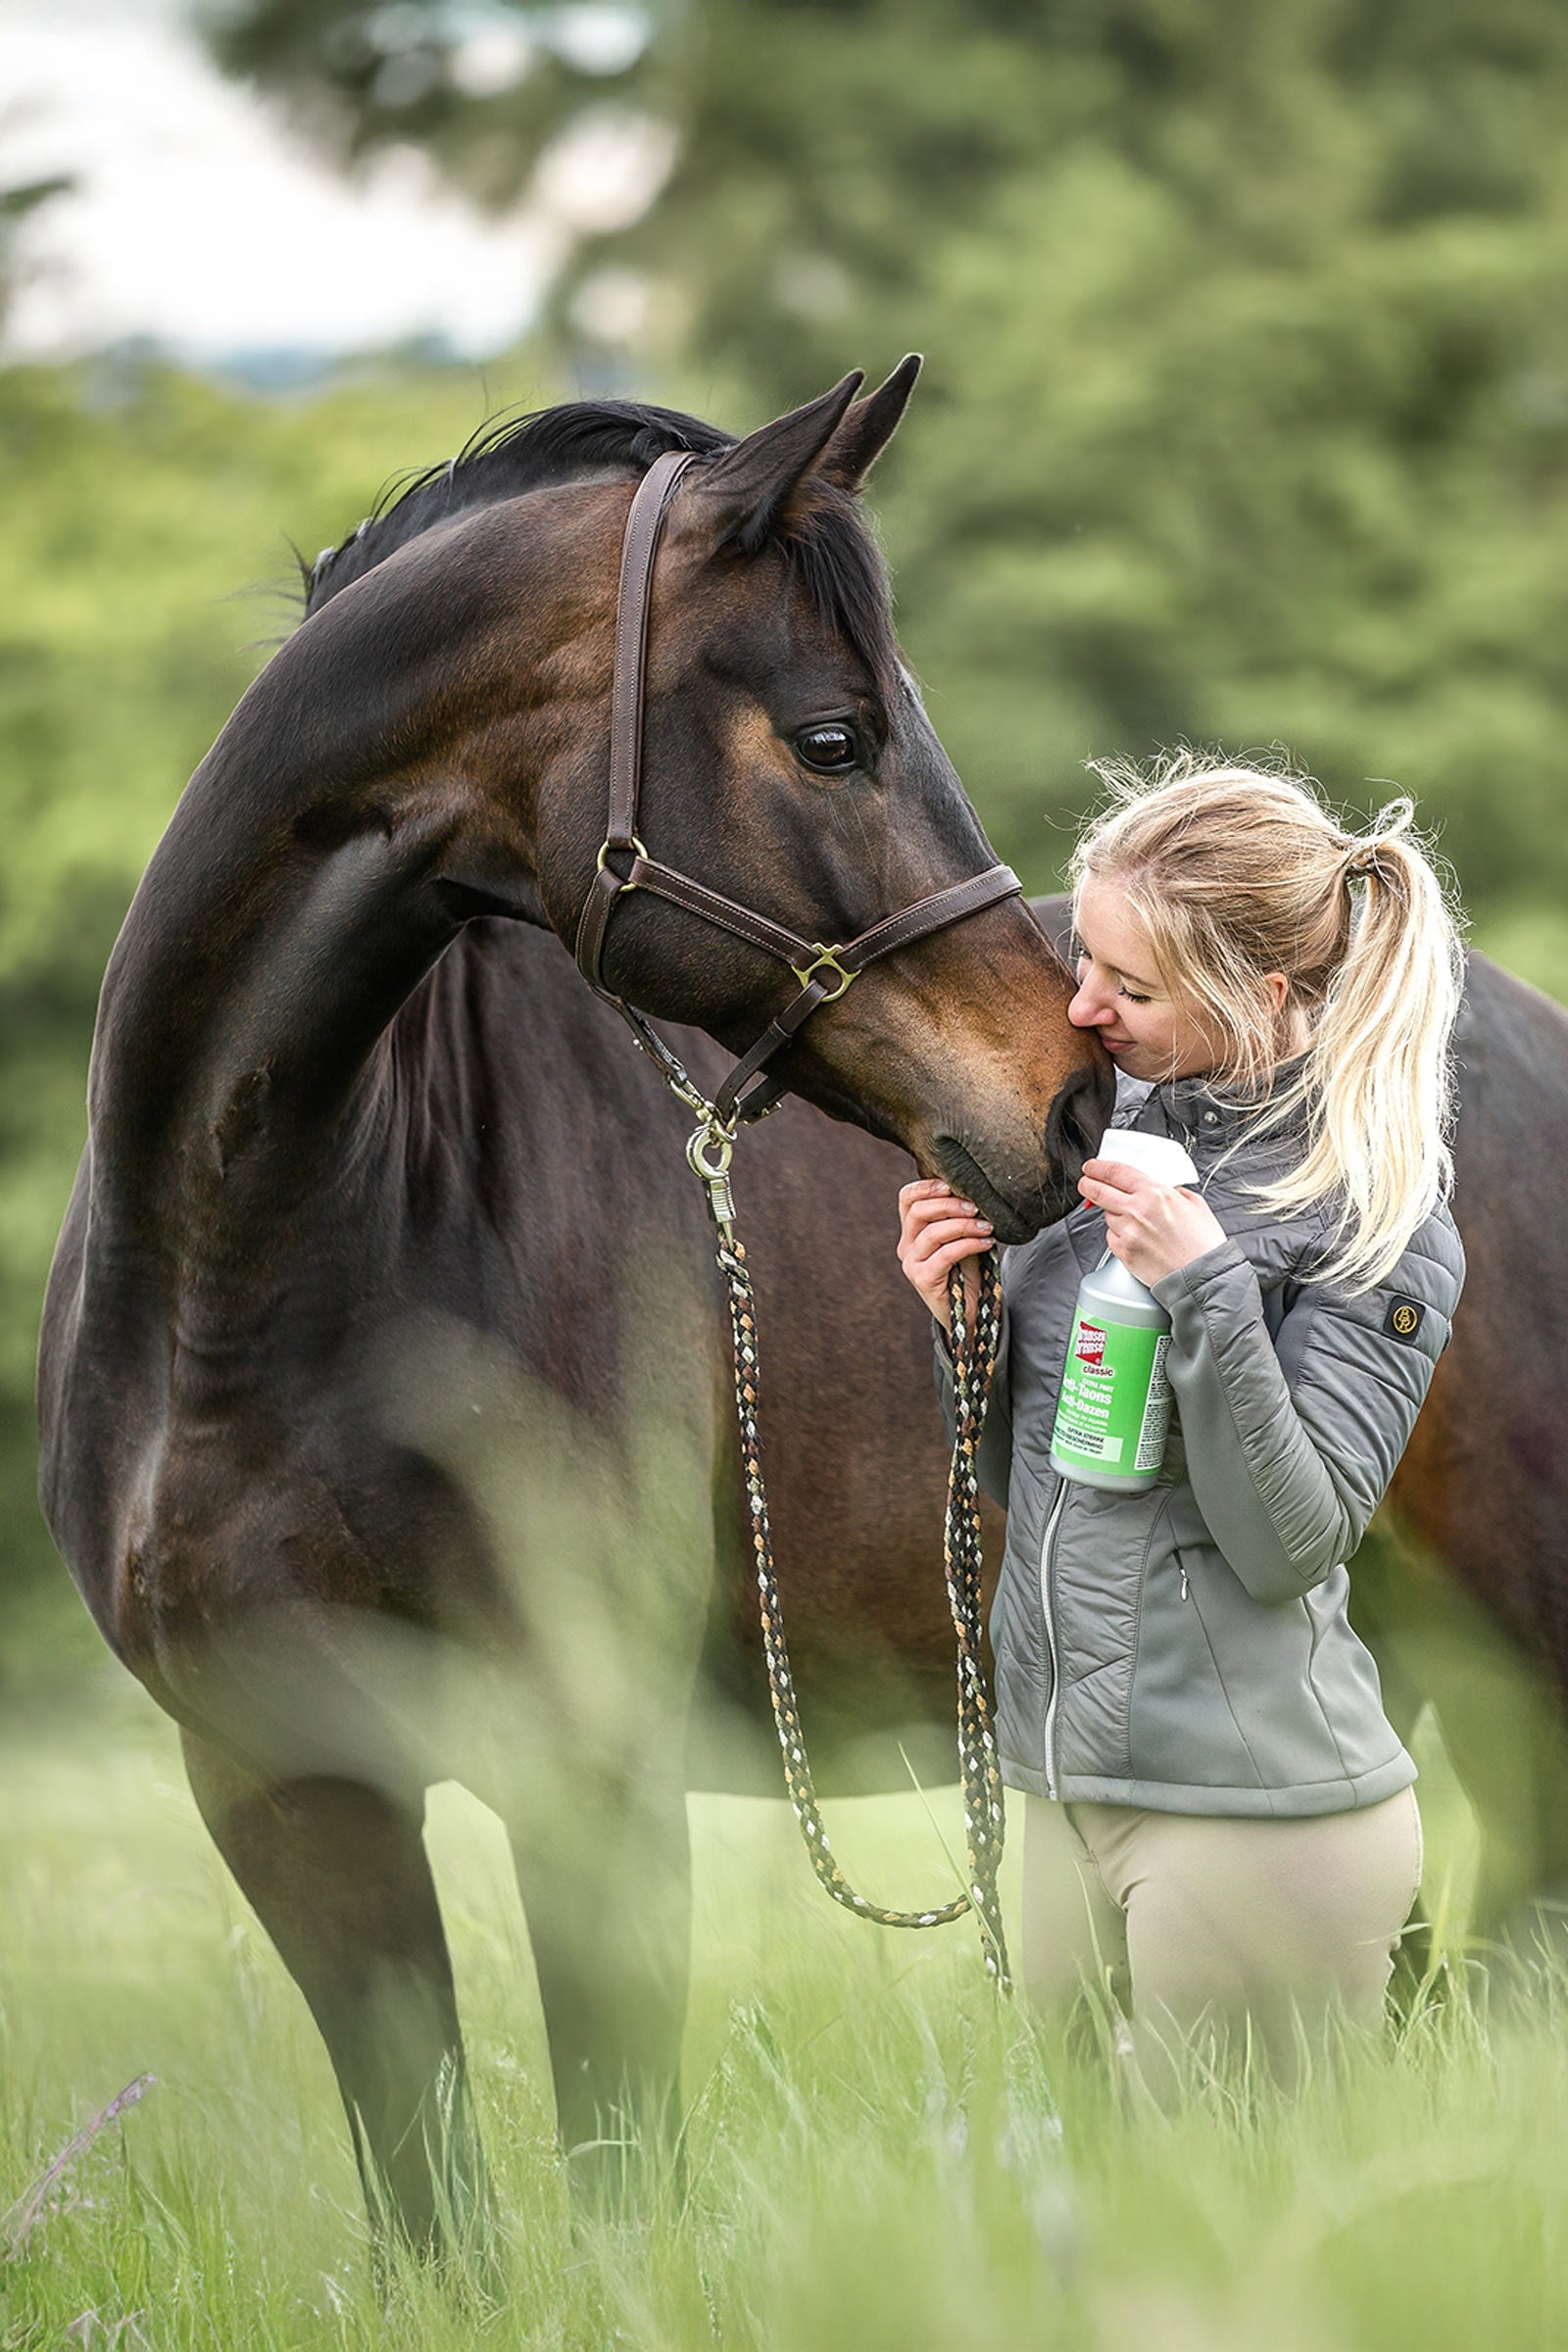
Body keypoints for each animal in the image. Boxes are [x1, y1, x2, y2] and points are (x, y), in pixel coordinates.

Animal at [36, 363, 1111, 2249]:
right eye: (835, 738)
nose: (1070, 1102)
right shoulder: (288, 1788)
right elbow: (430, 2207)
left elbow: (618, 2176)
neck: (252, 1281)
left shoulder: (589, 1773)